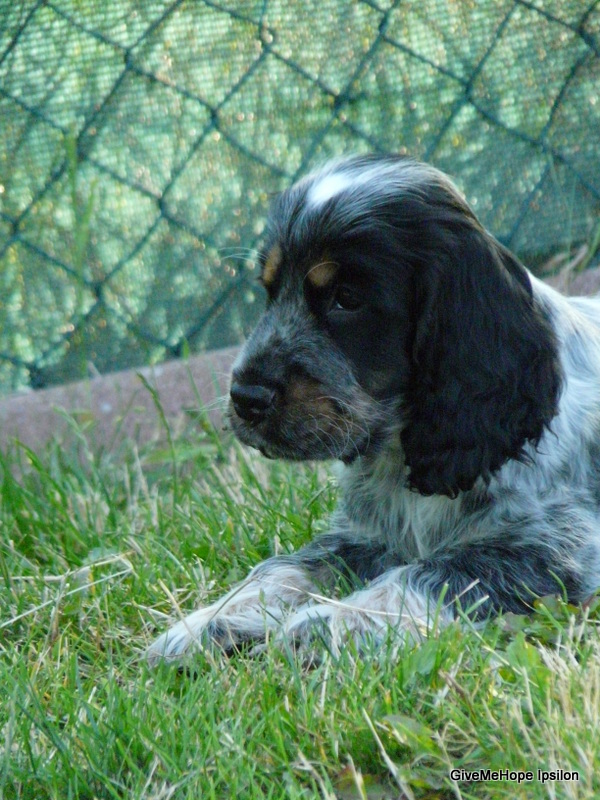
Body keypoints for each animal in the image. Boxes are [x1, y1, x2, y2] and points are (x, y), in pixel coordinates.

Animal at [147, 154, 600, 664]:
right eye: (269, 291)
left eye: (348, 300)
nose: (245, 397)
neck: (401, 454)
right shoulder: (366, 536)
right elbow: (289, 566)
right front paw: (205, 623)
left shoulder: (556, 544)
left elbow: (431, 574)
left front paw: (331, 622)